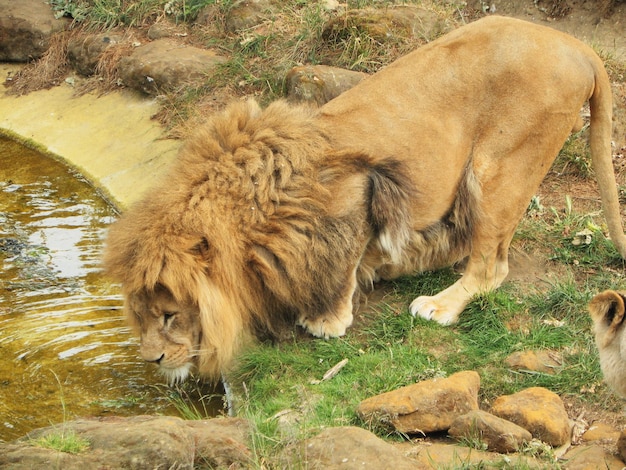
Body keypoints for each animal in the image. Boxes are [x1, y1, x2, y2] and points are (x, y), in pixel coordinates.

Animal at [103, 16, 624, 382]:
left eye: (170, 314)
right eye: (141, 314)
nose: (151, 359)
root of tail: (578, 47)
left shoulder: (359, 190)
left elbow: (340, 266)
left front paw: (326, 320)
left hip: (499, 166)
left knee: (490, 267)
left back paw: (440, 304)